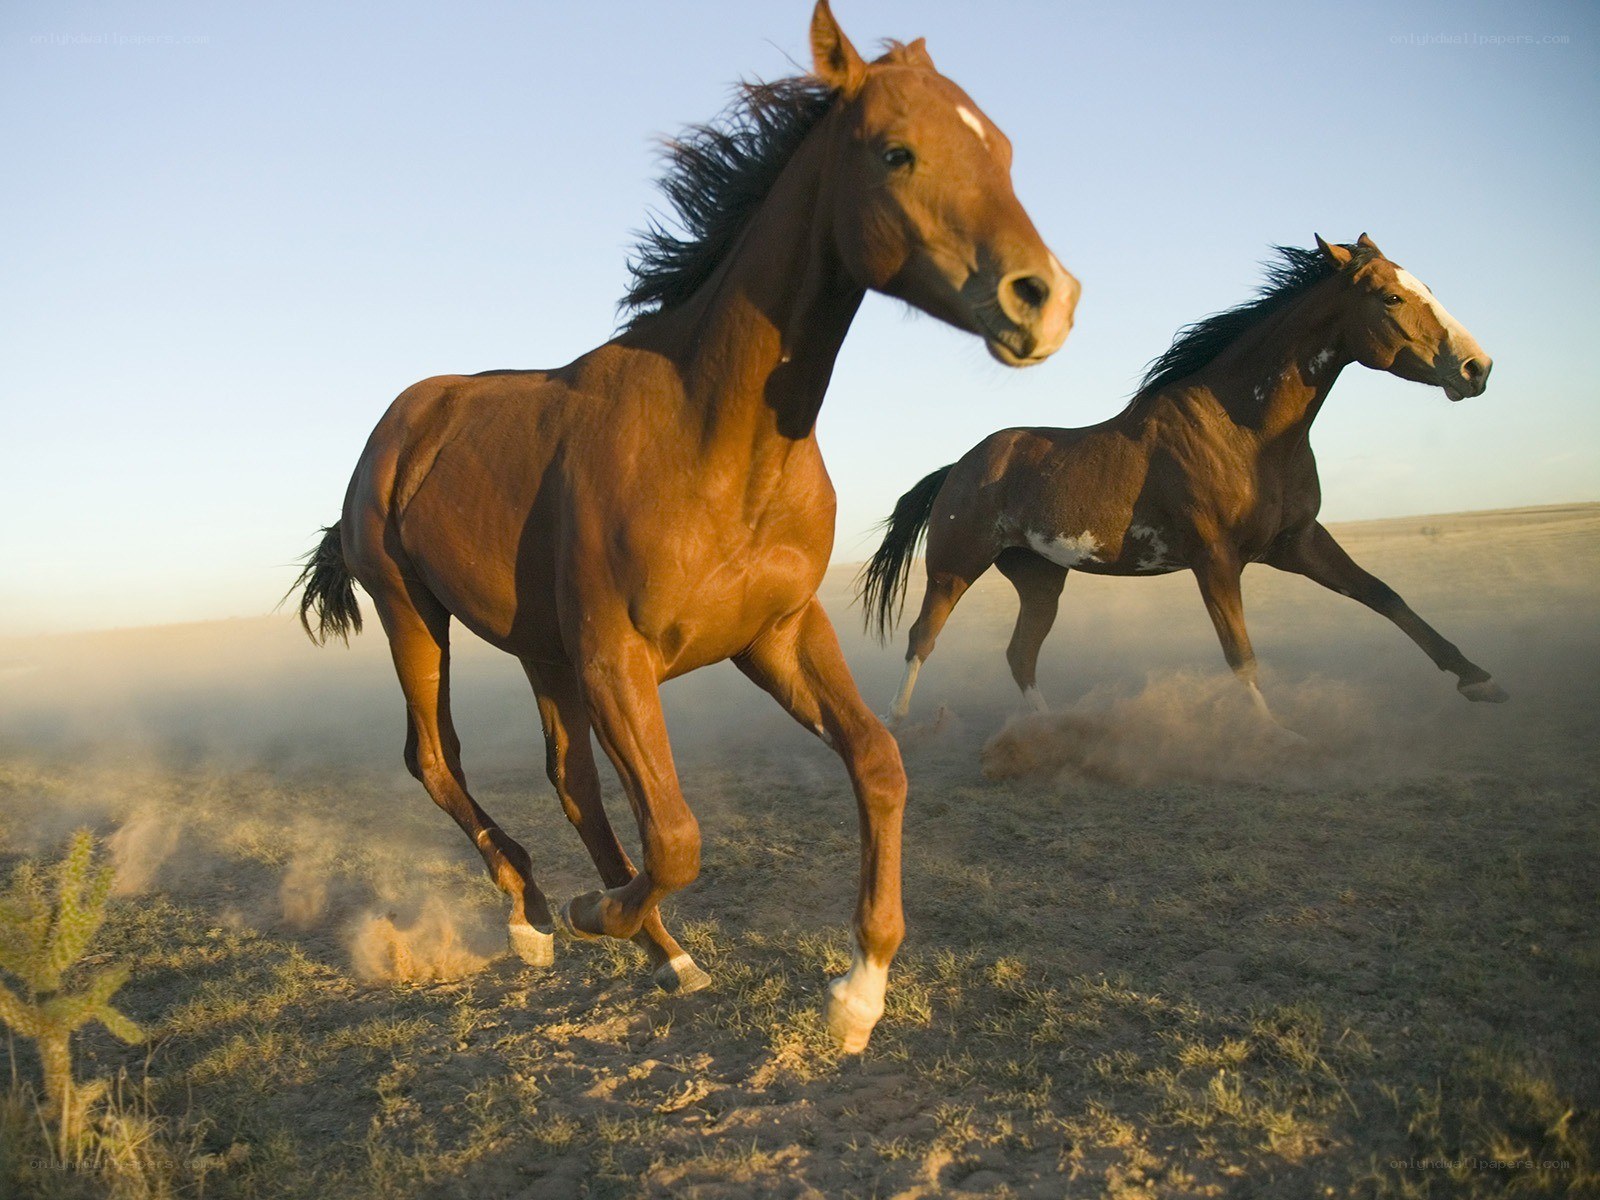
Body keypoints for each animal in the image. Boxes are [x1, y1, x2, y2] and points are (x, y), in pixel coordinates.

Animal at [290, 0, 1079, 1054]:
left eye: (1002, 148)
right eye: (896, 151)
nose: (1047, 298)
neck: (714, 438)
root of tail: (404, 421)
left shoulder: (776, 632)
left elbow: (876, 762)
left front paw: (859, 990)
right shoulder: (619, 661)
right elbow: (676, 837)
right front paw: (594, 913)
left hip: (544, 652)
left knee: (572, 781)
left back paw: (663, 953)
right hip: (414, 615)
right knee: (437, 760)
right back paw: (535, 917)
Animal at [861, 234, 1501, 733]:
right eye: (1390, 296)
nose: (1478, 368)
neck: (1244, 430)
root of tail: (958, 467)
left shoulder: (1297, 542)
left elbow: (1386, 596)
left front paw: (1480, 681)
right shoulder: (1215, 559)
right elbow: (1240, 654)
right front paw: (1276, 736)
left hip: (1040, 579)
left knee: (1020, 655)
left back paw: (1051, 731)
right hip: (954, 567)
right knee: (922, 638)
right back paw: (896, 723)